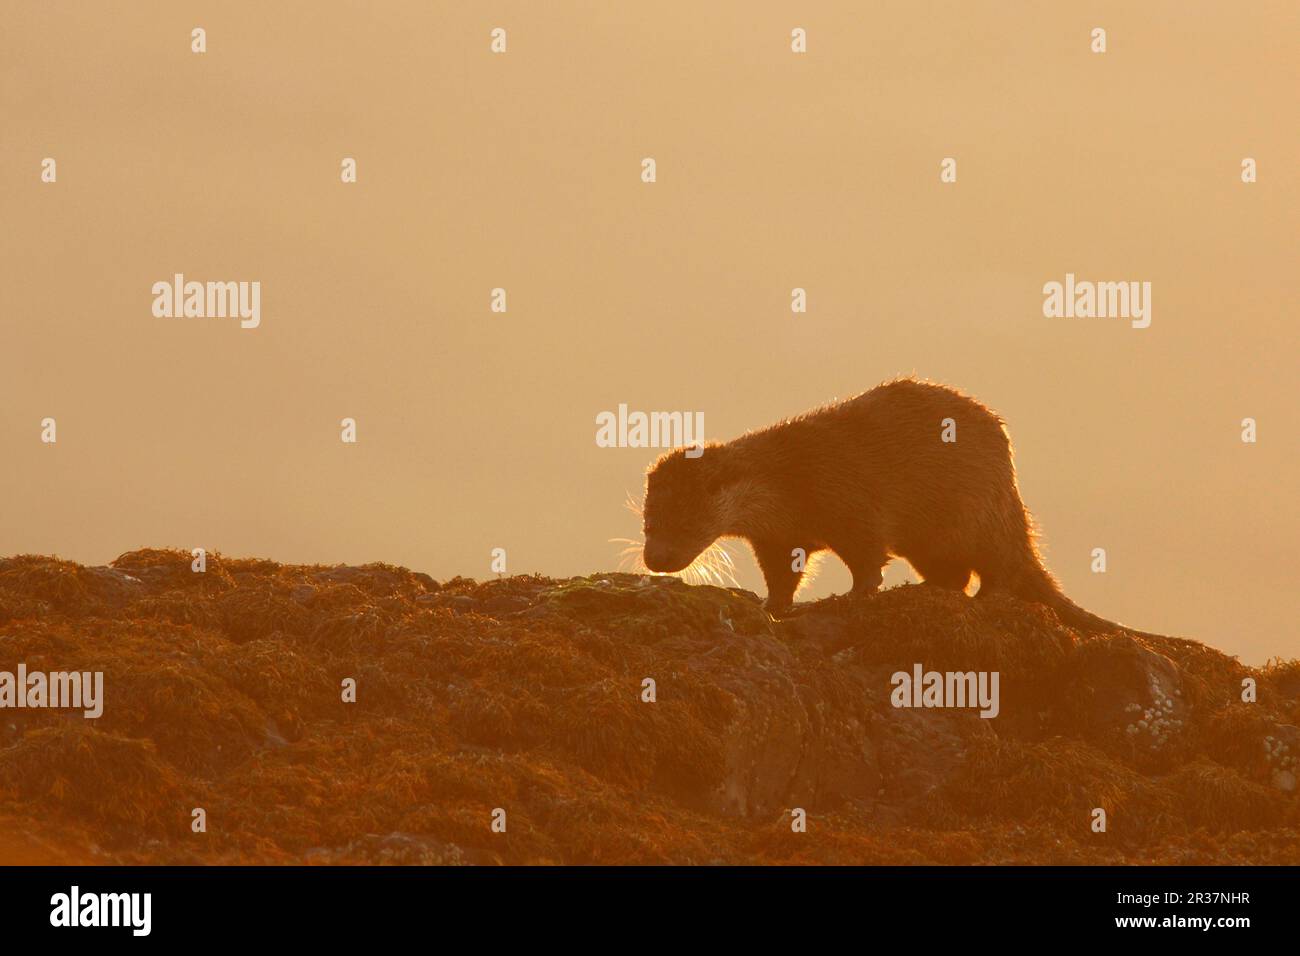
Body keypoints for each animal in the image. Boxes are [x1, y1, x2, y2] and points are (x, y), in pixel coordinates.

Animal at [644, 377, 1144, 632]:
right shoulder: (777, 536)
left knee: (999, 571)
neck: (789, 480)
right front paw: (773, 605)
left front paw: (847, 599)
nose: (654, 559)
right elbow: (783, 574)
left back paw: (983, 599)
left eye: (684, 520)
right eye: (649, 521)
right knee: (957, 575)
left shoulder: (851, 503)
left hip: (978, 513)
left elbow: (868, 559)